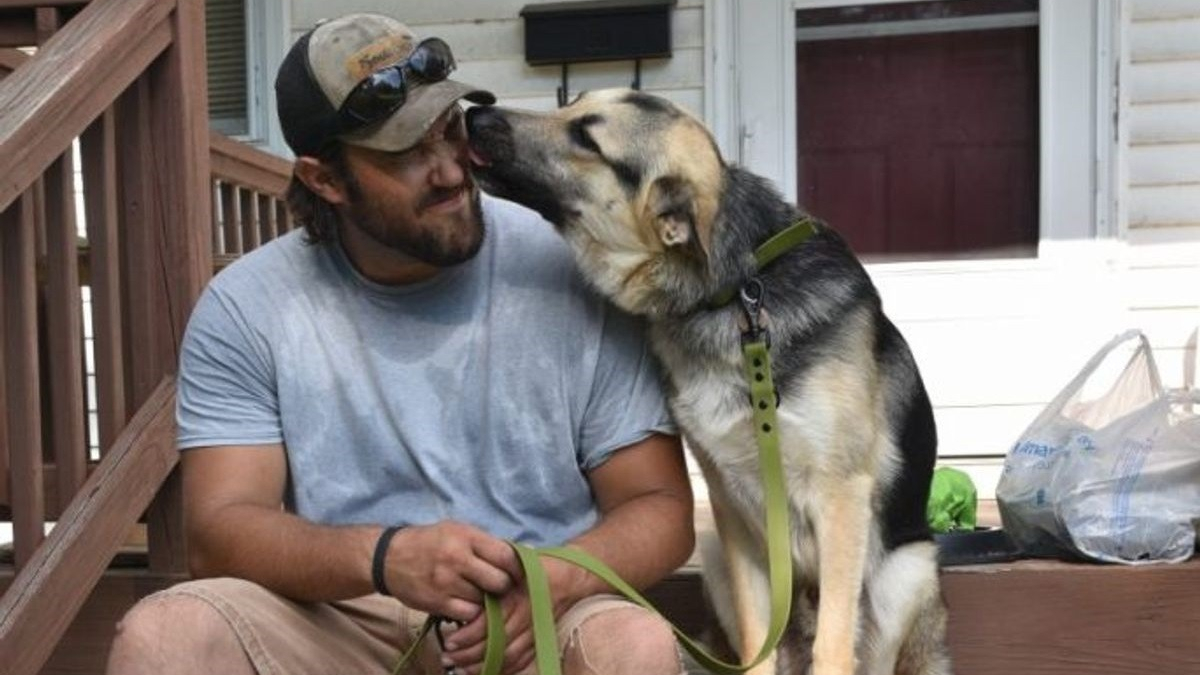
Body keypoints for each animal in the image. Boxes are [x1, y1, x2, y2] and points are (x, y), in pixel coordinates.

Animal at [463, 90, 950, 672]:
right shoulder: (732, 509)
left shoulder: (842, 496)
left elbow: (834, 644)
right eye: (570, 102)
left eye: (587, 138)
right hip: (716, 551)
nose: (473, 112)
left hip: (904, 572)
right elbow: (757, 638)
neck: (739, 295)